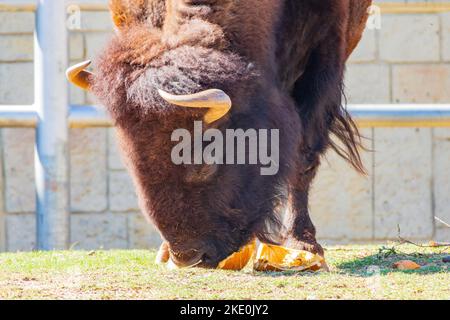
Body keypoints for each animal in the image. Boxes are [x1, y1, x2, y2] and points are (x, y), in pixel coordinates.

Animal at [68, 0, 372, 268]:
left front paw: (304, 245)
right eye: (131, 159)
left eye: (206, 158)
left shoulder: (323, 57)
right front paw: (164, 253)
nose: (189, 256)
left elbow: (303, 155)